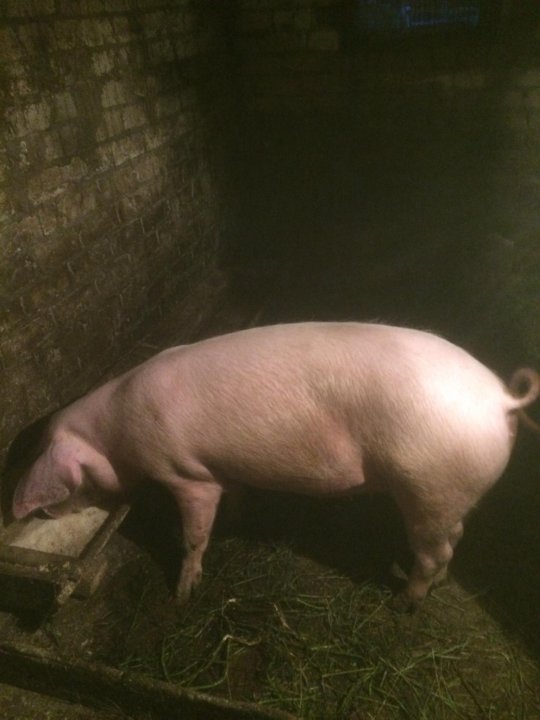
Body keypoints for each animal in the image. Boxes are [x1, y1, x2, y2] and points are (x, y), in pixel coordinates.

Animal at [10, 322, 540, 611]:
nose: (39, 513)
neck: (116, 434)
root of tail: (500, 399)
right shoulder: (222, 469)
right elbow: (235, 496)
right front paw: (237, 519)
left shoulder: (187, 476)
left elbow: (194, 534)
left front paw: (183, 594)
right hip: (449, 496)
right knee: (453, 540)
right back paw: (437, 586)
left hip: (427, 484)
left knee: (433, 551)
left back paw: (402, 605)